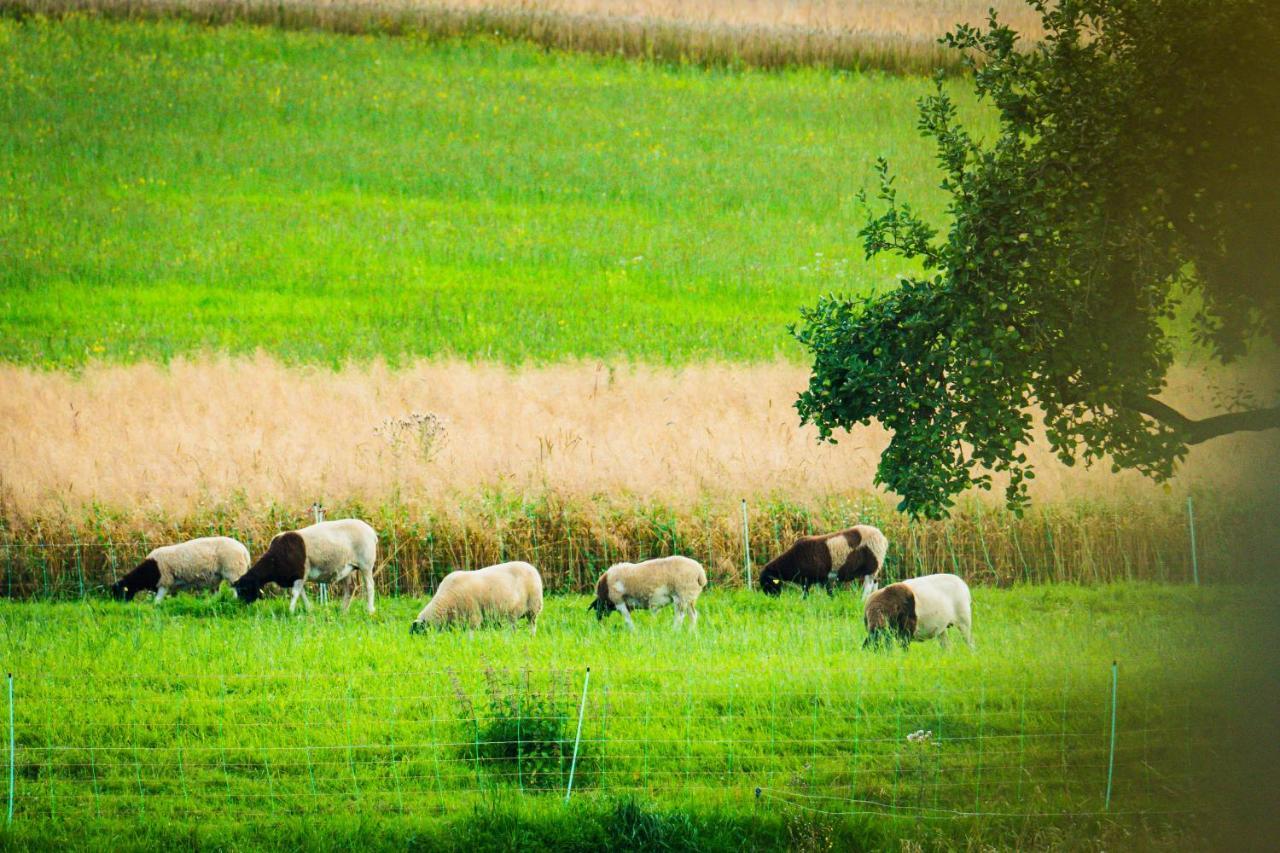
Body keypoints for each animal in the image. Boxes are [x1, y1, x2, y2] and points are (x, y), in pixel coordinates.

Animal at [111, 535, 250, 601]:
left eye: (120, 592)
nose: (118, 604)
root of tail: (244, 551)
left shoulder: (164, 581)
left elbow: (158, 599)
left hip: (233, 571)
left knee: (237, 589)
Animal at [232, 517, 376, 612]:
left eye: (244, 589)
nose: (240, 607)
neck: (274, 561)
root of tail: (372, 532)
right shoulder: (296, 576)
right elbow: (301, 593)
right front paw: (308, 609)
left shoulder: (300, 573)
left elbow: (295, 593)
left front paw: (290, 611)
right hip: (347, 568)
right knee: (350, 589)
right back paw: (343, 611)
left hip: (366, 563)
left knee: (369, 586)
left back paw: (370, 610)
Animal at [409, 558, 545, 630]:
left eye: (420, 632)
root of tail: (532, 567)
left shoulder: (473, 614)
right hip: (514, 612)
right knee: (514, 625)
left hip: (533, 607)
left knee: (532, 626)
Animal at [752, 525, 885, 596]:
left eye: (767, 582)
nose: (773, 598)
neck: (792, 560)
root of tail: (882, 537)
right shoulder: (814, 579)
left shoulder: (817, 578)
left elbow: (822, 593)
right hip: (875, 568)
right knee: (875, 583)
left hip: (872, 566)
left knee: (868, 585)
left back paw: (863, 600)